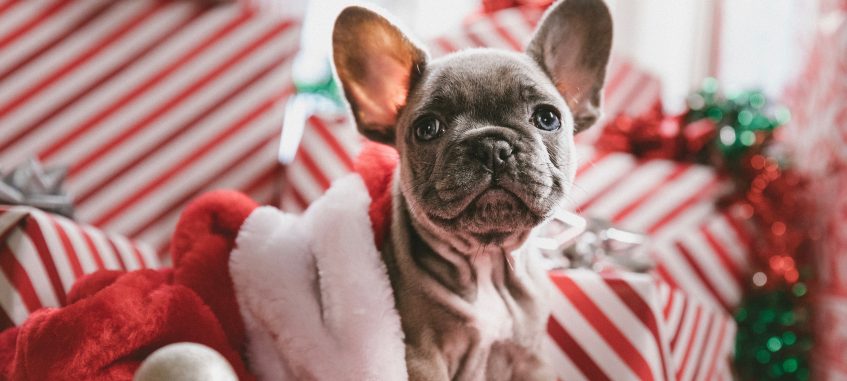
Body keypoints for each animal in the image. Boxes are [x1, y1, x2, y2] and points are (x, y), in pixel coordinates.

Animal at [332, 1, 616, 378]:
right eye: (427, 128)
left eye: (547, 118)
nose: (492, 146)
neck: (487, 262)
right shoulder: (422, 359)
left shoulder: (532, 357)